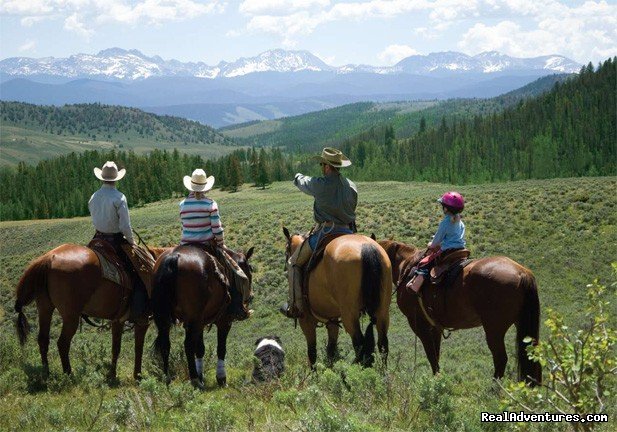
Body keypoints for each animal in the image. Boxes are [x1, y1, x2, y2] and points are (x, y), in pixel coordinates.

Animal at [14, 245, 168, 380]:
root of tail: (49, 258)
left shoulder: (118, 320)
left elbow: (116, 348)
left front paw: (112, 375)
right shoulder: (142, 321)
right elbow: (138, 348)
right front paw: (138, 375)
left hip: (45, 308)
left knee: (43, 340)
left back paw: (46, 373)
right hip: (71, 317)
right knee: (62, 343)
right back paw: (68, 374)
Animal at [150, 245, 254, 390]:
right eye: (250, 269)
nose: (251, 296)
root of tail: (173, 257)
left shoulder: (199, 322)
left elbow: (200, 349)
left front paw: (202, 376)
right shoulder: (224, 321)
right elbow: (221, 349)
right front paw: (221, 379)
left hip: (165, 318)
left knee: (166, 344)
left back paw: (167, 378)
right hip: (194, 318)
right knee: (188, 345)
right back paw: (194, 380)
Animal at [282, 226, 390, 368]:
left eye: (286, 251)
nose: (285, 266)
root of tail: (367, 247)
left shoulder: (306, 320)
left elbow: (312, 352)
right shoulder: (332, 320)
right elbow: (331, 349)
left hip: (349, 314)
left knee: (359, 343)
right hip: (383, 310)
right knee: (383, 344)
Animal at [376, 240, 540, 384]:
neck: (406, 267)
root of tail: (522, 273)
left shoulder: (419, 325)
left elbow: (430, 354)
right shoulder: (435, 327)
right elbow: (436, 354)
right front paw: (437, 379)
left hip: (494, 328)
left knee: (500, 358)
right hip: (518, 324)